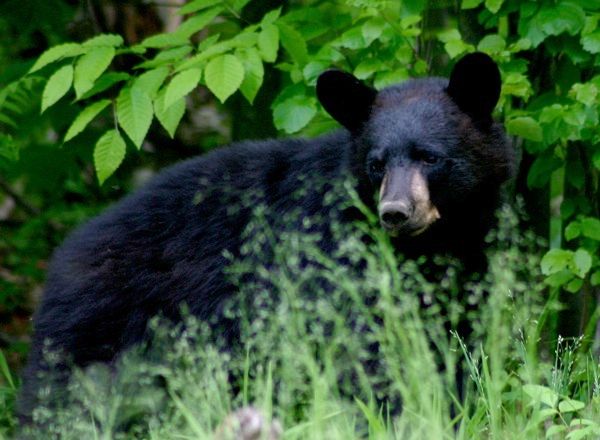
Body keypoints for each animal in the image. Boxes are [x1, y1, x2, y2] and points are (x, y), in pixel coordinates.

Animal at [19, 51, 516, 420]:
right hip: (108, 325)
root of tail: (62, 260)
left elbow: (456, 343)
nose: (394, 212)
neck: (432, 244)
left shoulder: (466, 266)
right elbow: (365, 349)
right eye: (377, 163)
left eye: (430, 157)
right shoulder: (332, 260)